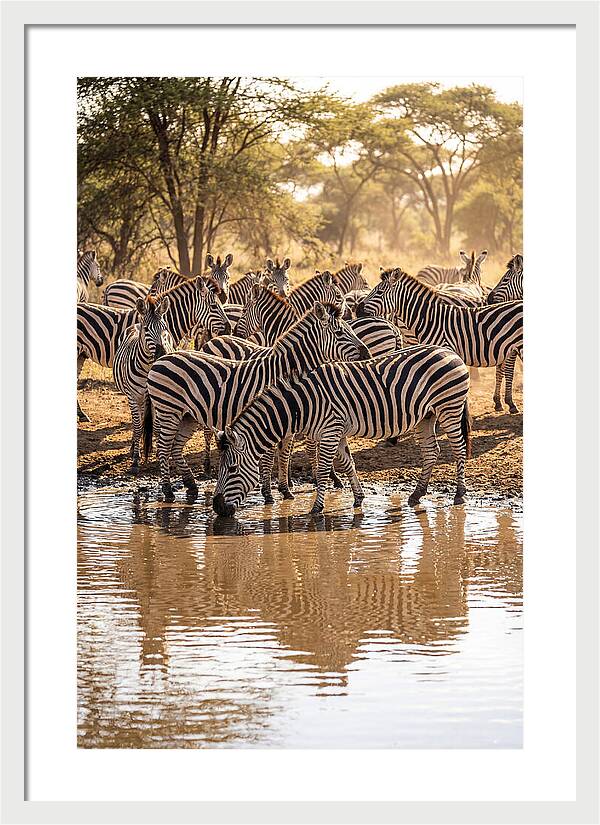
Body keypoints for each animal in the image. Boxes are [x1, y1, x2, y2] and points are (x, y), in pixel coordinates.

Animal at [113, 295, 174, 471]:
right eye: (147, 330)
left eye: (165, 328)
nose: (162, 354)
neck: (148, 368)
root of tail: (136, 324)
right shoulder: (133, 396)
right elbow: (138, 425)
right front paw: (135, 459)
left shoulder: (160, 398)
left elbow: (158, 427)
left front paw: (161, 455)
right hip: (135, 397)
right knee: (138, 422)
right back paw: (134, 447)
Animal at [142, 303, 370, 502]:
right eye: (339, 333)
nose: (367, 353)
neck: (283, 371)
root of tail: (161, 359)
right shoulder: (271, 417)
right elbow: (269, 457)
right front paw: (268, 494)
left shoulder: (287, 420)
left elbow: (284, 454)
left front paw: (285, 490)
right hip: (168, 411)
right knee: (163, 448)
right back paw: (168, 491)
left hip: (187, 416)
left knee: (175, 448)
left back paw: (191, 485)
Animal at [212, 345, 472, 517]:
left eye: (232, 469)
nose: (217, 507)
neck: (303, 403)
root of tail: (450, 352)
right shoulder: (336, 432)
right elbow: (348, 464)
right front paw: (358, 498)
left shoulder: (330, 431)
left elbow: (323, 471)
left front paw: (316, 509)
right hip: (425, 416)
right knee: (431, 451)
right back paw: (417, 494)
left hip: (449, 407)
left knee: (458, 448)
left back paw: (460, 494)